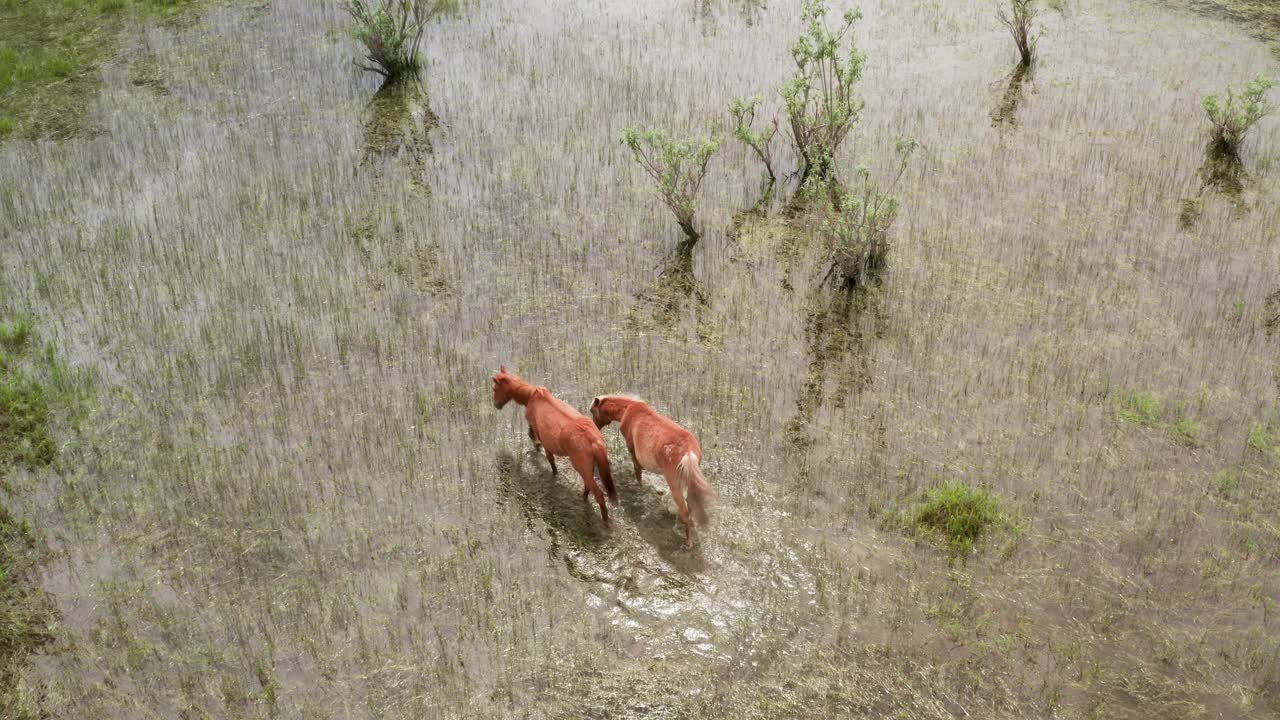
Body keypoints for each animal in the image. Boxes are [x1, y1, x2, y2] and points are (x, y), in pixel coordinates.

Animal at [488, 368, 614, 520]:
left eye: (495, 388)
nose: (496, 404)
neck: (531, 396)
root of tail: (594, 440)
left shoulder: (539, 432)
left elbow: (546, 454)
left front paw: (542, 456)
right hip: (589, 467)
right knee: (588, 487)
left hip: (581, 466)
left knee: (599, 495)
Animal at [591, 392, 716, 543]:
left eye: (592, 411)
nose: (594, 427)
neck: (628, 408)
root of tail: (689, 451)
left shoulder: (631, 448)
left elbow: (637, 470)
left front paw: (640, 486)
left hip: (675, 484)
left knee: (686, 512)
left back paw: (687, 541)